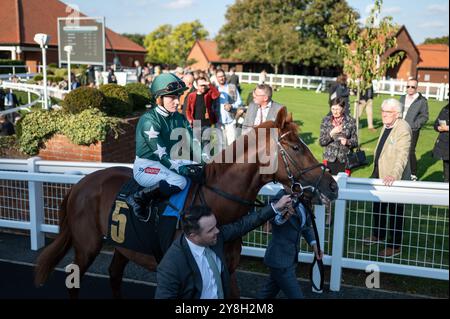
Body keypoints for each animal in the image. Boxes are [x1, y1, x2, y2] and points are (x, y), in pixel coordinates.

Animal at [35, 108, 338, 300]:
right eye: (297, 148)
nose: (332, 186)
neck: (216, 204)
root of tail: (80, 184)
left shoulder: (228, 269)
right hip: (86, 246)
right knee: (75, 282)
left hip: (124, 244)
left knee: (114, 274)